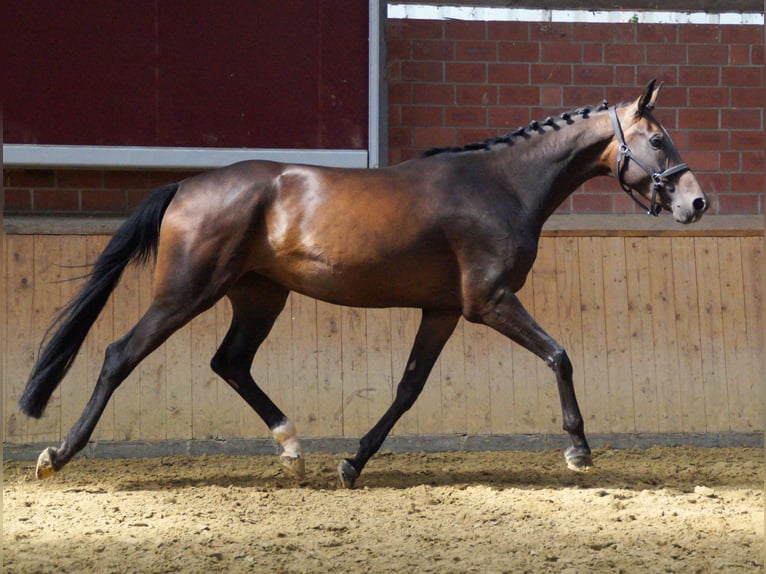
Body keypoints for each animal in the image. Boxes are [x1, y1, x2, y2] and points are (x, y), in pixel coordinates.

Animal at [19, 80, 708, 487]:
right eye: (656, 138)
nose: (697, 203)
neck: (502, 185)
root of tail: (186, 184)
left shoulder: (443, 311)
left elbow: (408, 389)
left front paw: (353, 461)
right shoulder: (489, 302)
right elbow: (560, 355)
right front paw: (579, 449)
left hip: (259, 296)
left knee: (231, 363)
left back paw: (292, 446)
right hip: (186, 293)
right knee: (120, 354)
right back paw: (59, 454)